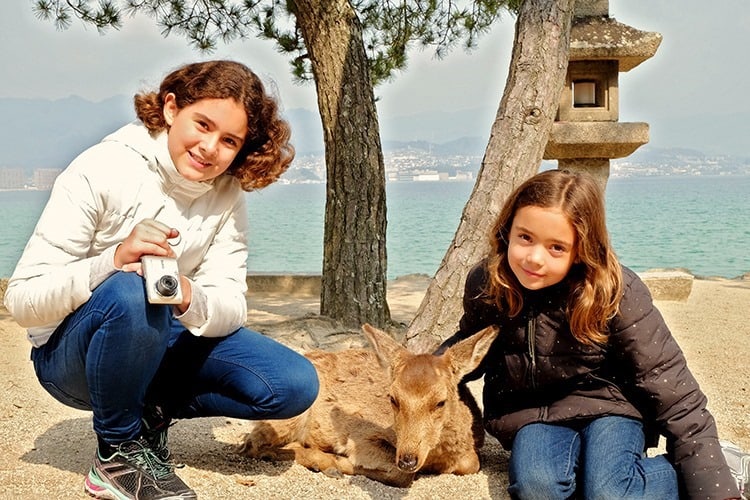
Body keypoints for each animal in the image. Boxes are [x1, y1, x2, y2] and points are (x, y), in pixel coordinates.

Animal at [241, 322, 500, 486]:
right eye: (393, 398)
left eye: (440, 402)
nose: (408, 459)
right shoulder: (361, 434)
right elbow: (398, 474)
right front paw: (336, 461)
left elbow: (471, 463)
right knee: (252, 443)